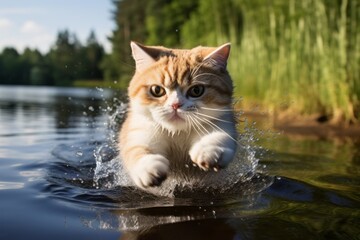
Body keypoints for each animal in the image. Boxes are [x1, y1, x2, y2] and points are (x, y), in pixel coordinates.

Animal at [118, 41, 238, 189]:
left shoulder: (222, 121)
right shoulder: (140, 130)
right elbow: (137, 149)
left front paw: (209, 151)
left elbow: (219, 137)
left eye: (196, 90)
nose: (176, 105)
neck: (177, 133)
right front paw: (148, 168)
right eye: (157, 90)